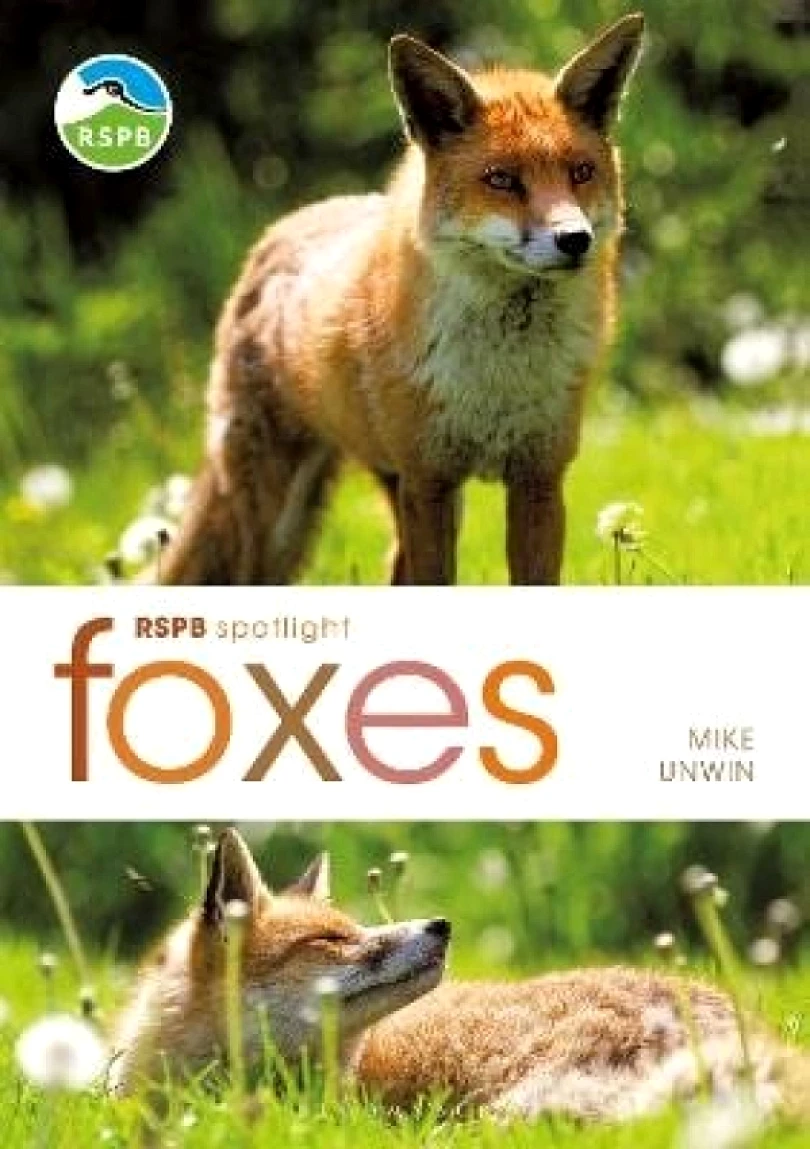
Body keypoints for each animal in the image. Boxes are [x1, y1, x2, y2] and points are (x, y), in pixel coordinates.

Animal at [158, 14, 646, 587]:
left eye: (581, 172)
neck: (498, 375)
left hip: (389, 490)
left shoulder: (538, 480)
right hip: (276, 515)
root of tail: (285, 226)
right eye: (502, 179)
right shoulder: (429, 481)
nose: (575, 239)